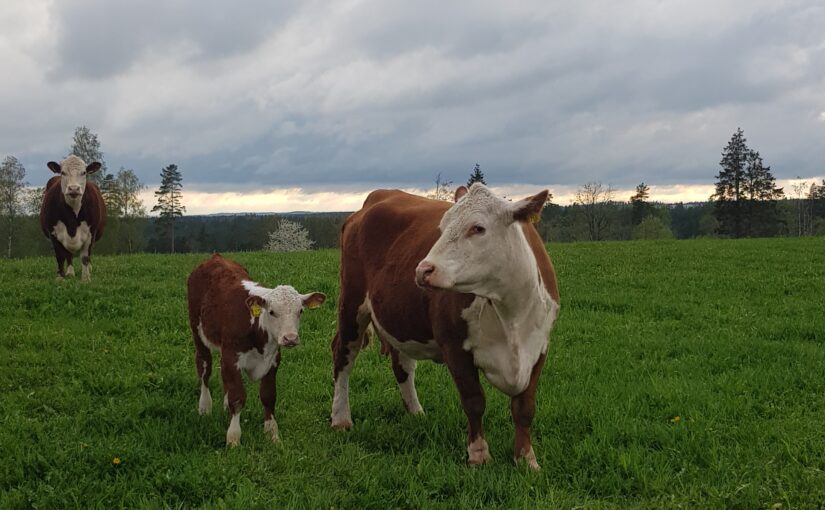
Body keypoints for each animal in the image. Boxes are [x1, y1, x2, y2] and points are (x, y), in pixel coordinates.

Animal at [187, 255, 326, 446]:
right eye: (272, 312)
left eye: (300, 311)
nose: (290, 338)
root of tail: (215, 258)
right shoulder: (232, 357)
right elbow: (237, 398)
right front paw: (233, 438)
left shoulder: (273, 361)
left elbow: (268, 396)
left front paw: (272, 434)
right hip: (198, 333)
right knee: (204, 369)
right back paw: (204, 407)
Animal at [330, 183, 560, 470]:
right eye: (442, 225)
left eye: (478, 228)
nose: (423, 270)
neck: (510, 313)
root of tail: (378, 196)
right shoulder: (455, 347)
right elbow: (474, 401)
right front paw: (478, 455)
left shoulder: (539, 347)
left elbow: (525, 408)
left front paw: (526, 459)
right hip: (352, 304)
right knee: (343, 355)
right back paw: (340, 418)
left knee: (402, 365)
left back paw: (415, 412)